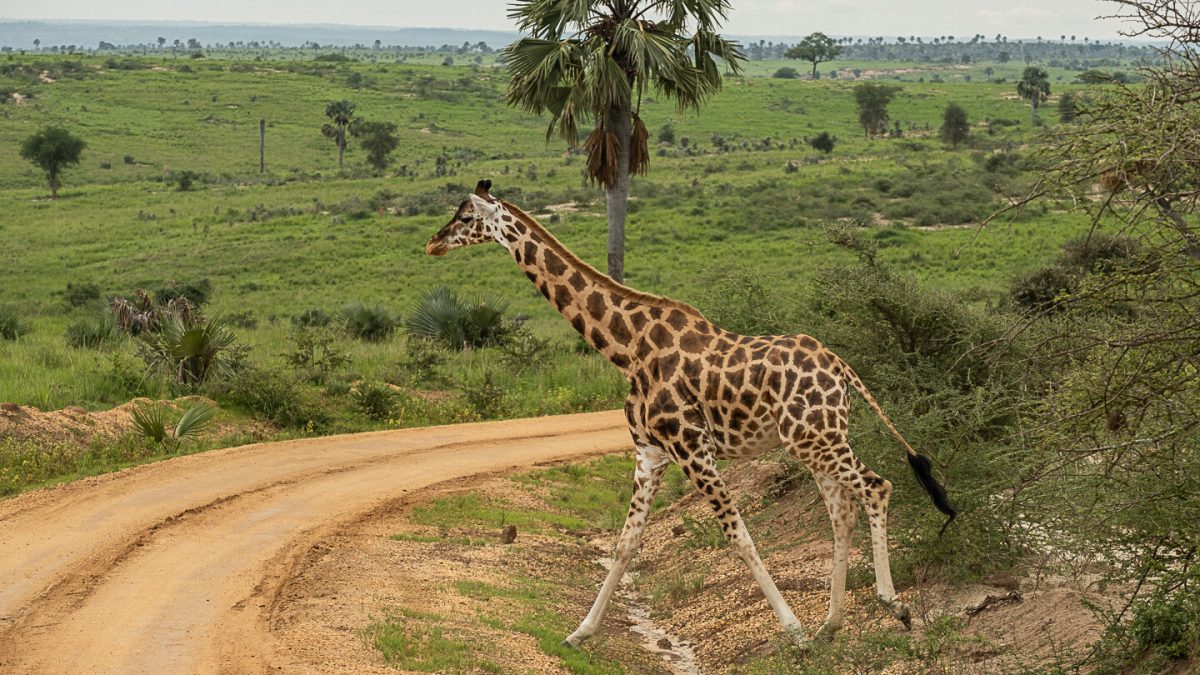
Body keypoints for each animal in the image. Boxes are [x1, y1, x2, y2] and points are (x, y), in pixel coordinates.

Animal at [424, 178, 955, 648]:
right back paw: (832, 624)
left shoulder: (691, 449)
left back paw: (893, 607)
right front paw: (579, 633)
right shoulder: (650, 453)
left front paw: (794, 632)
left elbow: (739, 537)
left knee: (877, 486)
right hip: (812, 440)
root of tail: (842, 367)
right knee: (842, 511)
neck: (625, 349)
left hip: (817, 438)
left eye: (465, 217)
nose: (432, 243)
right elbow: (625, 544)